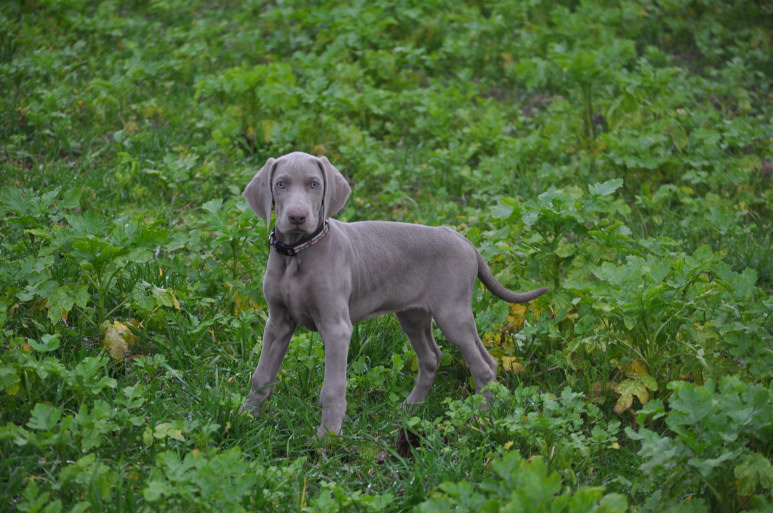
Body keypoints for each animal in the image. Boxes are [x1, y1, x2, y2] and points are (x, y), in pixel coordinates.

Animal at [238, 152, 544, 436]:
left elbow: (332, 388)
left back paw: (480, 417)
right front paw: (246, 417)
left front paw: (328, 437)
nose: (297, 217)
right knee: (433, 357)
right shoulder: (277, 323)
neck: (298, 252)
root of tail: (462, 238)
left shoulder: (337, 329)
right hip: (413, 315)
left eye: (314, 184)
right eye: (280, 184)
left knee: (483, 365)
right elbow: (262, 375)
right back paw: (412, 407)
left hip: (452, 314)